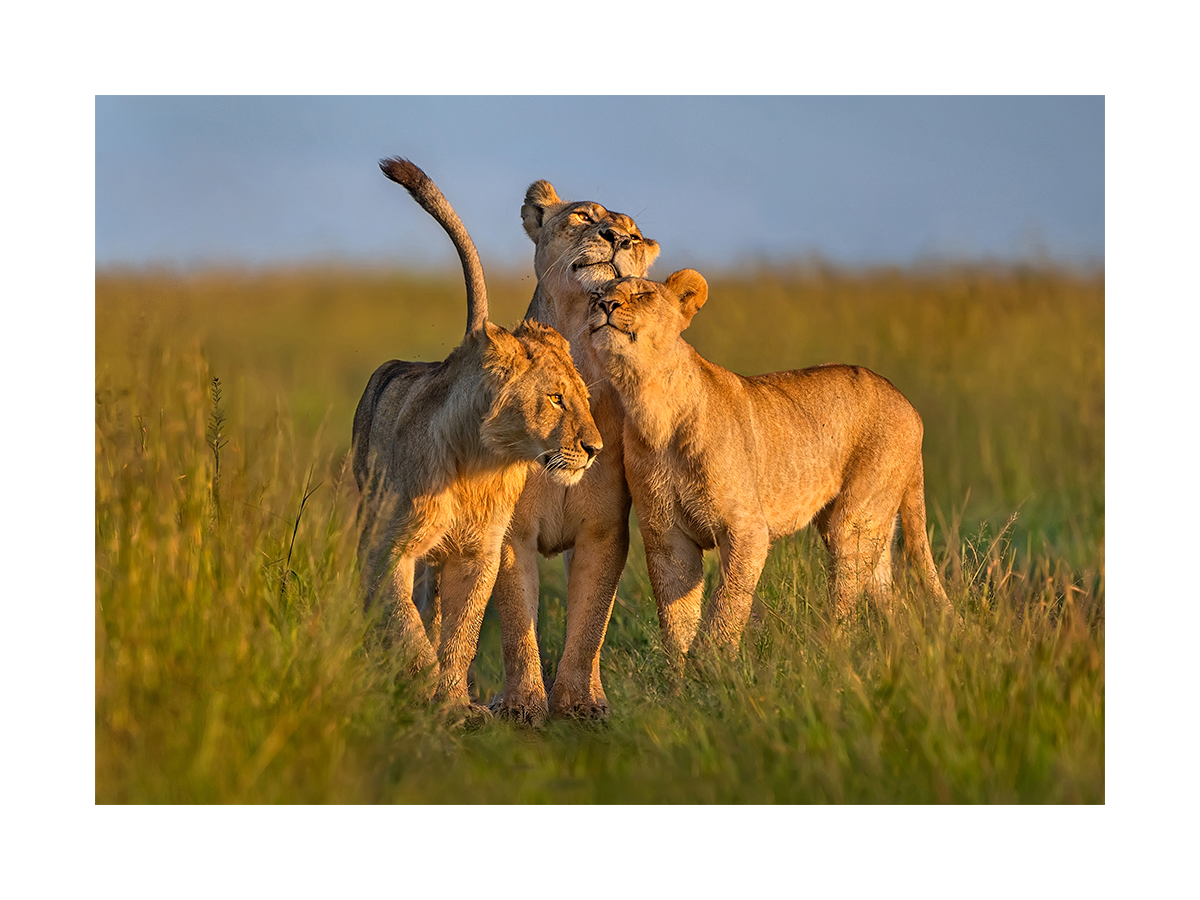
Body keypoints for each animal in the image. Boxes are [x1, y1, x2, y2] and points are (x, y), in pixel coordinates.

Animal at [352, 158, 602, 713]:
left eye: (583, 398)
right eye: (556, 399)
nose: (595, 449)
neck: (480, 464)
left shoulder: (480, 553)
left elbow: (462, 634)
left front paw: (452, 702)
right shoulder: (388, 547)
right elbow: (407, 626)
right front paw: (426, 687)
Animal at [487, 181, 660, 722]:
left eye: (635, 234)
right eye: (583, 216)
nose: (618, 239)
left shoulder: (603, 530)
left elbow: (589, 626)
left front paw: (579, 703)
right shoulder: (511, 530)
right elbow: (516, 624)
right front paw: (523, 705)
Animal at [586, 269, 950, 662]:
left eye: (642, 295)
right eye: (595, 295)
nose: (606, 305)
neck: (650, 403)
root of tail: (906, 402)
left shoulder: (746, 529)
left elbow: (727, 603)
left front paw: (713, 665)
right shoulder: (666, 537)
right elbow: (676, 620)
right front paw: (679, 674)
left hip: (854, 519)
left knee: (847, 596)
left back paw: (828, 652)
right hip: (869, 523)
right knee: (889, 595)